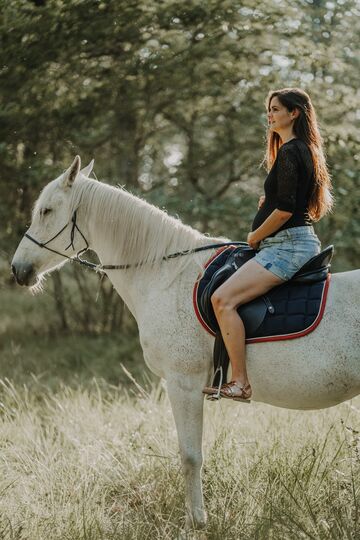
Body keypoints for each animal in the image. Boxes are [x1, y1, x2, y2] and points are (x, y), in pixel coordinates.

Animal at [10, 156, 360, 528]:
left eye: (47, 210)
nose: (18, 270)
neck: (166, 275)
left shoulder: (183, 383)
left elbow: (190, 456)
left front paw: (197, 522)